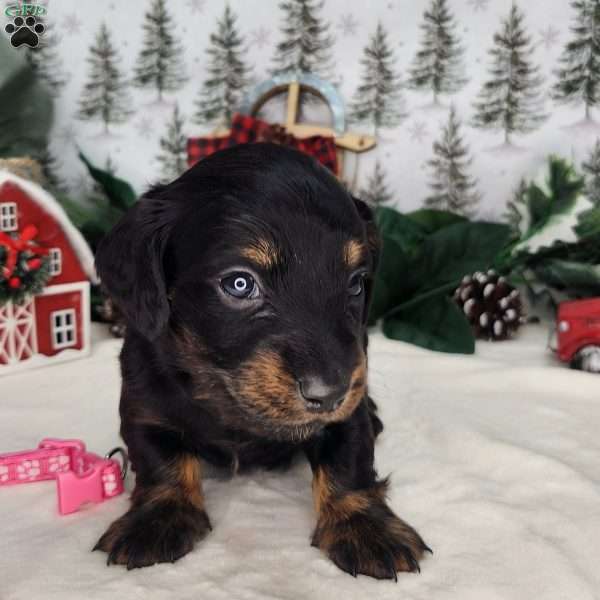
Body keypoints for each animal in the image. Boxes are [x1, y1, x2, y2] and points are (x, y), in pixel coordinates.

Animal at [94, 143, 428, 580]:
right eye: (239, 283)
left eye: (356, 283)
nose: (329, 394)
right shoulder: (144, 403)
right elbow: (157, 459)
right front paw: (157, 517)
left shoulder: (349, 408)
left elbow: (351, 460)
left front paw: (364, 526)